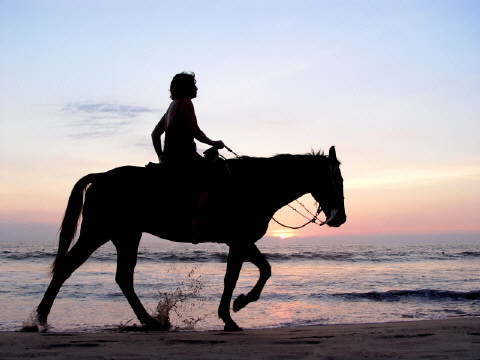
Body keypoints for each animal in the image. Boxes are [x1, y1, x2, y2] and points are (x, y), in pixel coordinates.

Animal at [34, 145, 344, 330]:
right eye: (336, 180)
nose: (340, 218)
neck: (255, 186)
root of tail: (99, 176)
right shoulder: (239, 240)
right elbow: (245, 275)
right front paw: (234, 310)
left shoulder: (241, 242)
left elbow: (258, 271)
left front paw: (234, 308)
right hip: (98, 231)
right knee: (67, 267)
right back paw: (41, 317)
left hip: (126, 235)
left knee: (123, 277)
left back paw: (150, 321)